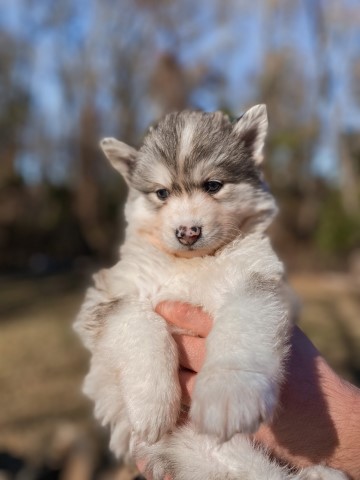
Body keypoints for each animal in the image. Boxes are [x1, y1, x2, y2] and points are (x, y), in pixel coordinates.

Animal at [74, 106, 348, 480]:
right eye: (162, 193)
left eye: (213, 186)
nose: (188, 232)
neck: (192, 264)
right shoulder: (105, 299)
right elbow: (138, 321)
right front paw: (150, 402)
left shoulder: (259, 279)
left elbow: (242, 325)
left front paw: (227, 392)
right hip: (195, 451)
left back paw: (321, 474)